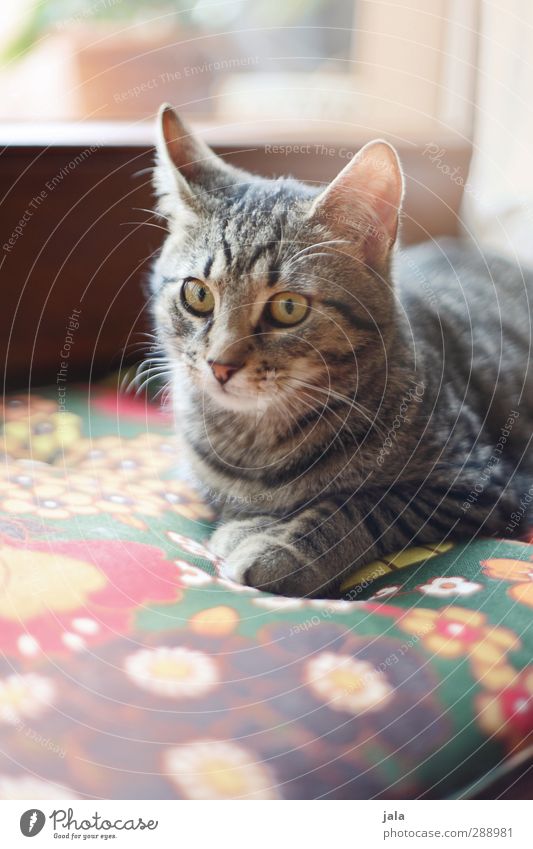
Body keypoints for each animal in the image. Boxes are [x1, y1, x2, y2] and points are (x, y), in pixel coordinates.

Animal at [150, 104, 532, 596]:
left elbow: (359, 505)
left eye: (288, 308)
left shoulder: (480, 479)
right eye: (197, 295)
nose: (220, 365)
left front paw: (279, 547)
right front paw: (250, 522)